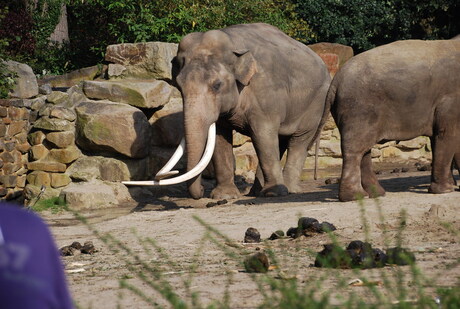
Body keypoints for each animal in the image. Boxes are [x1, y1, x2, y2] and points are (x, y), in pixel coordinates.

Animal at [124, 22, 330, 199]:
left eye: (217, 85)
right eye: (179, 87)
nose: (201, 191)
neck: (231, 44)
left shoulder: (266, 94)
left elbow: (263, 136)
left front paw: (273, 194)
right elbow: (220, 139)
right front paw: (224, 196)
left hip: (316, 102)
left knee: (298, 141)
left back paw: (287, 190)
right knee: (280, 141)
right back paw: (257, 192)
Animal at [328, 38, 460, 201]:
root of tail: (335, 81)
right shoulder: (451, 99)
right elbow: (447, 134)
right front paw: (446, 190)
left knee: (364, 149)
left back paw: (376, 193)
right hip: (358, 108)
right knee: (355, 150)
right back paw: (356, 196)